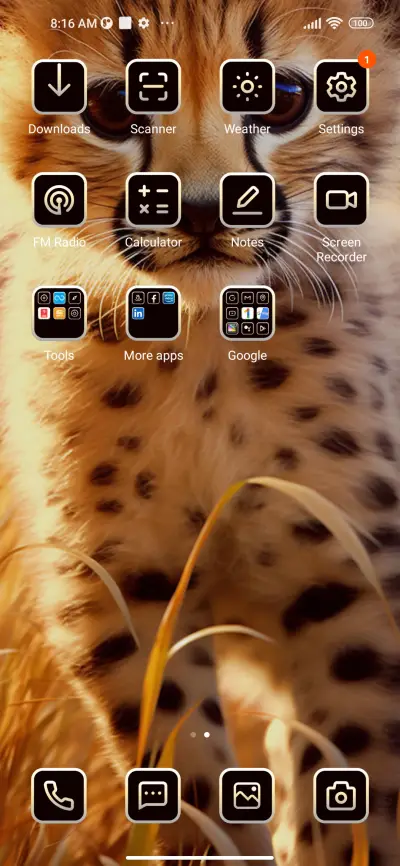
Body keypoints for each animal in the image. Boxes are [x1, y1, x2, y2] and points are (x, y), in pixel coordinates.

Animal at [1, 0, 400, 863]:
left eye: (283, 99)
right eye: (111, 107)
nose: (204, 210)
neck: (205, 347)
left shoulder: (351, 578)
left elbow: (359, 779)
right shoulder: (121, 585)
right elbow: (184, 767)